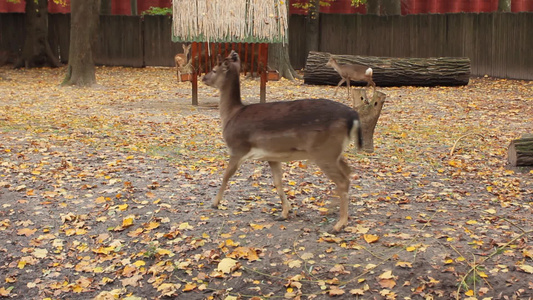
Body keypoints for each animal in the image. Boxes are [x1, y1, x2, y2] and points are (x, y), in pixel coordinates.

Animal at [203, 51, 362, 233]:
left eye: (214, 70)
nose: (203, 78)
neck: (231, 115)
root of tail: (353, 117)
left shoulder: (238, 148)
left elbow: (225, 176)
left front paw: (215, 203)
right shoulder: (272, 156)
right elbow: (278, 183)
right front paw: (285, 212)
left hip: (324, 152)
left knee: (343, 181)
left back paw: (339, 224)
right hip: (335, 152)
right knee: (349, 172)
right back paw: (332, 209)